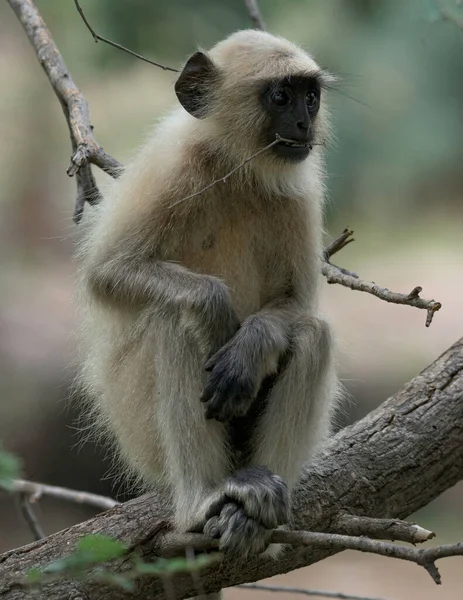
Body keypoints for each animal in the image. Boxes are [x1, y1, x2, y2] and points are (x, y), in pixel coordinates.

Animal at [78, 28, 342, 560]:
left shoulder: (299, 191)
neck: (236, 169)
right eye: (280, 96)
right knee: (172, 320)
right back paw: (204, 501)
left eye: (311, 96)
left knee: (312, 333)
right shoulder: (170, 167)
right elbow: (107, 273)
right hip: (141, 434)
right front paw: (213, 307)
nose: (304, 122)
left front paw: (249, 347)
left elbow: (297, 304)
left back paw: (258, 504)